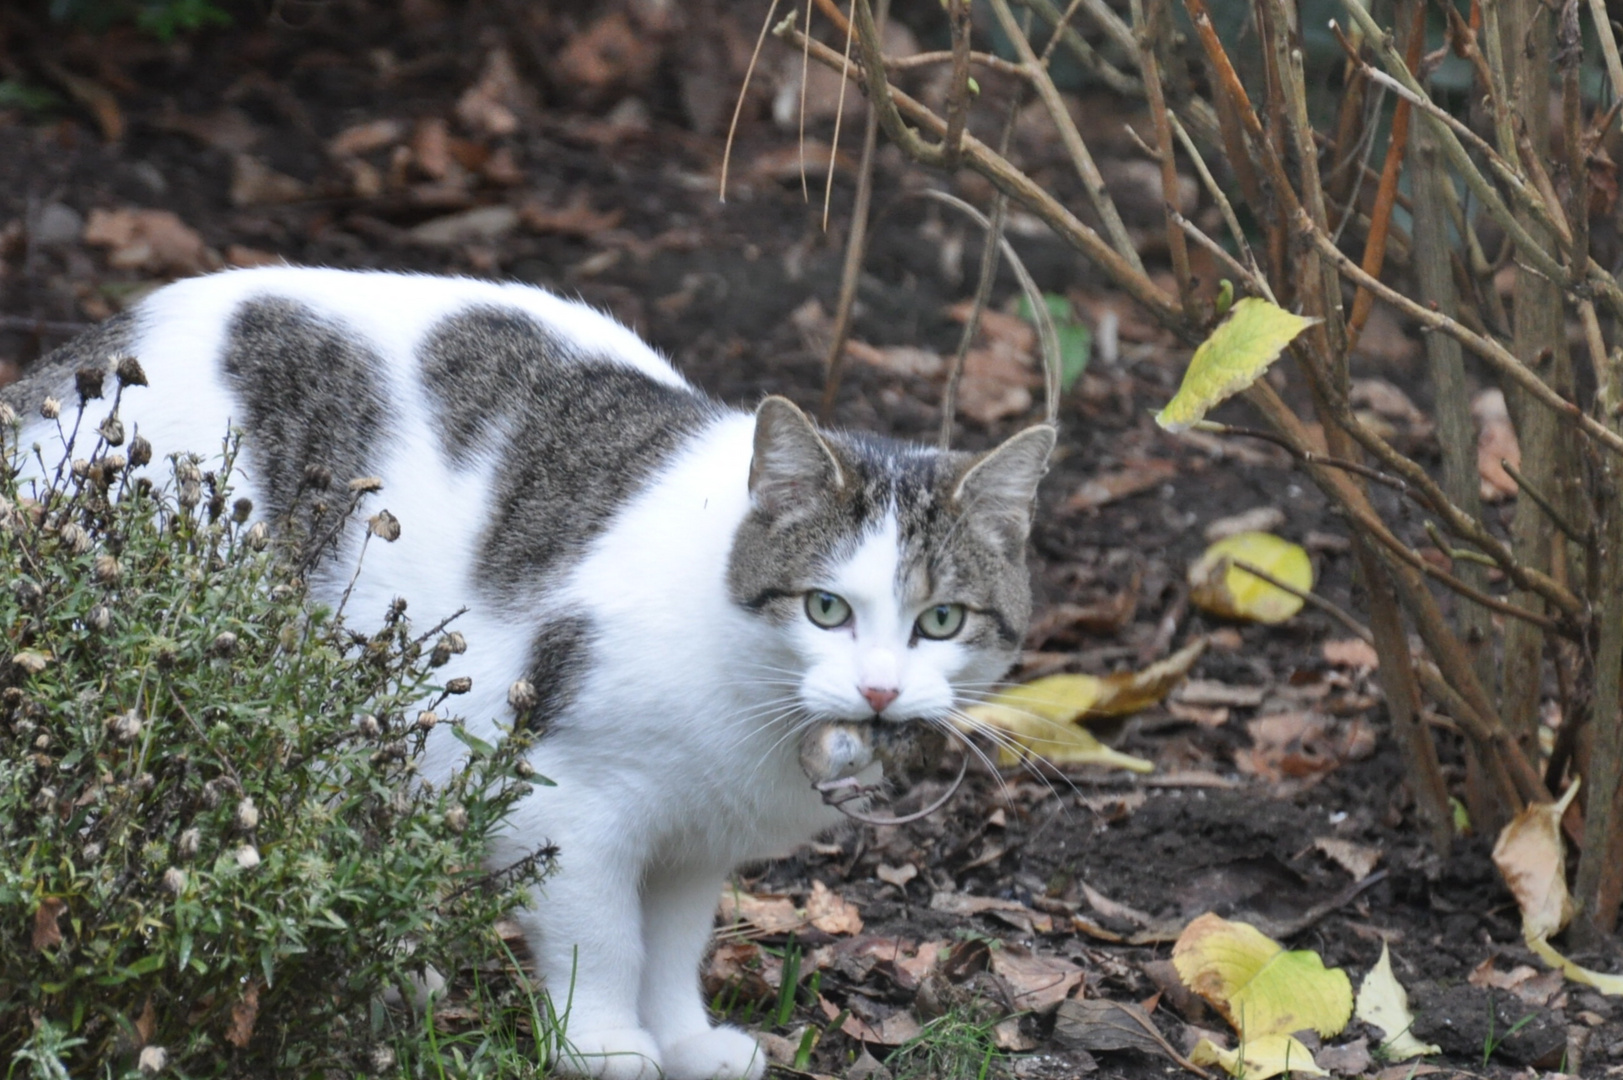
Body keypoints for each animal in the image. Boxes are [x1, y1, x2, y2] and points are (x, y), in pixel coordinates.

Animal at [3, 263, 1051, 1078]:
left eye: (941, 620)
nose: (877, 690)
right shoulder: (567, 801)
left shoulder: (696, 842)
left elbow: (674, 946)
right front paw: (604, 1045)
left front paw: (685, 1040)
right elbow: (606, 939)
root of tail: (63, 372)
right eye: (826, 608)